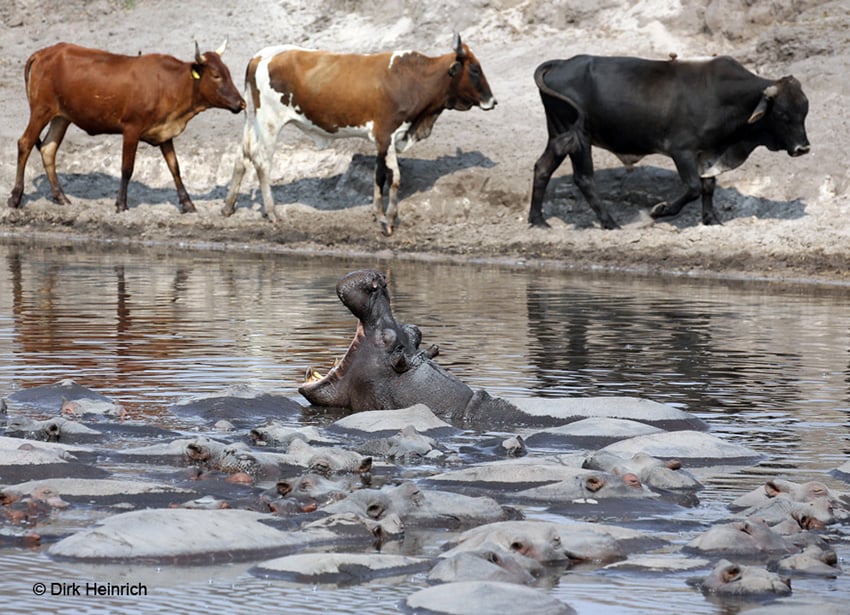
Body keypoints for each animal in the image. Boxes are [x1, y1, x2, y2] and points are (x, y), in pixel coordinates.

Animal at [8, 41, 245, 214]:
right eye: (216, 75)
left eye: (228, 72)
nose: (241, 103)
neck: (170, 85)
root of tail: (45, 52)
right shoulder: (131, 128)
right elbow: (126, 168)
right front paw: (121, 203)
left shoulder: (164, 132)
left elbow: (175, 167)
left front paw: (187, 203)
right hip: (41, 110)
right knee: (25, 143)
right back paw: (15, 197)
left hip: (61, 117)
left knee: (48, 149)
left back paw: (61, 197)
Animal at [222, 33, 494, 236]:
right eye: (475, 70)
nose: (493, 101)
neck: (413, 78)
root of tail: (261, 55)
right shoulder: (386, 134)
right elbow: (395, 178)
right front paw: (390, 219)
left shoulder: (382, 140)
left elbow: (379, 175)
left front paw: (379, 213)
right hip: (270, 121)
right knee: (262, 162)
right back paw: (272, 212)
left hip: (253, 119)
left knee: (242, 155)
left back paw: (228, 206)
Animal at [528, 54, 812, 229]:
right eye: (782, 114)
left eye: (805, 111)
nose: (803, 147)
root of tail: (561, 63)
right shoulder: (682, 150)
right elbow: (693, 187)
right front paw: (660, 210)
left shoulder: (707, 152)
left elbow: (708, 186)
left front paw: (711, 219)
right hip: (580, 137)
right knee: (584, 178)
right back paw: (610, 222)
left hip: (558, 133)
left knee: (542, 168)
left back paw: (538, 220)